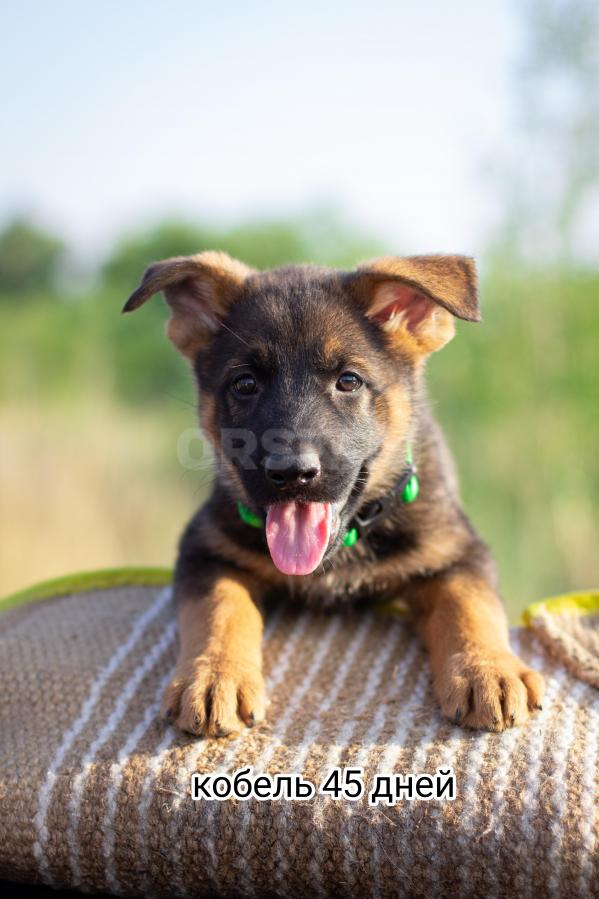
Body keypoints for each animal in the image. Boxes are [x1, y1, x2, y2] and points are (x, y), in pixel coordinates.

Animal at [124, 251, 545, 737]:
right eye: (245, 384)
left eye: (349, 381)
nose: (291, 472)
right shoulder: (206, 548)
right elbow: (219, 607)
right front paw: (213, 676)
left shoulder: (457, 550)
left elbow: (470, 604)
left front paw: (489, 670)